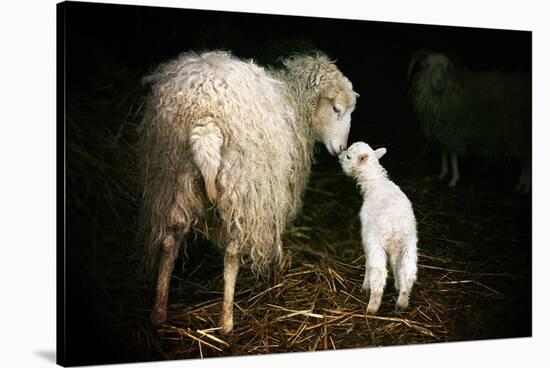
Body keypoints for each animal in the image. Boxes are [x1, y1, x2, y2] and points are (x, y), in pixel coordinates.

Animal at [140, 49, 360, 334]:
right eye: (336, 109)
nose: (343, 149)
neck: (293, 100)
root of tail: (204, 117)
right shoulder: (276, 189)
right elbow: (276, 232)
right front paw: (278, 264)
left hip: (173, 176)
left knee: (169, 240)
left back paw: (158, 314)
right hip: (243, 186)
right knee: (232, 252)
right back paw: (226, 322)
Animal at [340, 141, 418, 314]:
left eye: (348, 156)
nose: (339, 155)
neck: (375, 183)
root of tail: (396, 228)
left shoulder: (367, 237)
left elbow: (368, 263)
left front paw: (364, 286)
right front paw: (397, 285)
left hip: (377, 243)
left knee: (379, 273)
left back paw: (372, 306)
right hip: (408, 244)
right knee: (408, 272)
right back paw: (402, 300)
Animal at [408, 48, 532, 191]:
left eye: (448, 67)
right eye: (427, 65)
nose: (438, 81)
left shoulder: (455, 130)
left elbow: (453, 156)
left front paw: (454, 180)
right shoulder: (442, 129)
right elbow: (444, 152)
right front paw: (442, 174)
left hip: (521, 134)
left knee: (527, 161)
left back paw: (524, 186)